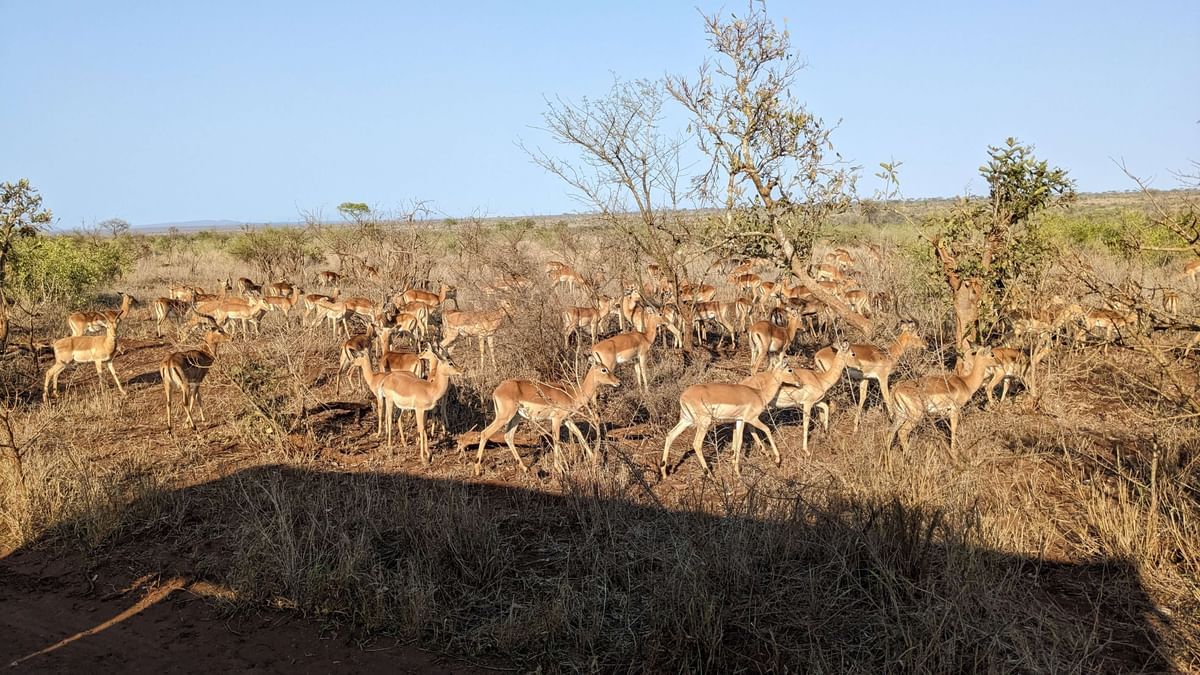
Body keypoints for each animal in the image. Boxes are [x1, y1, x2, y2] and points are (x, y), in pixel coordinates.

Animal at [475, 364, 620, 475]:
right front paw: (559, 469)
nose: (618, 382)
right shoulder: (556, 419)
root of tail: (497, 391)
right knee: (485, 433)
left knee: (508, 436)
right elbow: (556, 439)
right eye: (604, 369)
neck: (572, 394)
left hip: (516, 417)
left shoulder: (567, 419)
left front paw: (594, 459)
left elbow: (579, 434)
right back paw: (477, 470)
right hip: (504, 417)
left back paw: (525, 468)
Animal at [660, 359, 802, 478]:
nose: (799, 382)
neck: (758, 394)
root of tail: (683, 397)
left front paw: (736, 470)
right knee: (696, 444)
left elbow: (738, 442)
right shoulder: (751, 419)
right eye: (790, 369)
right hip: (704, 423)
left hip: (685, 420)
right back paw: (710, 475)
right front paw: (777, 460)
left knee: (670, 435)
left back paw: (664, 473)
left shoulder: (739, 420)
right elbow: (766, 430)